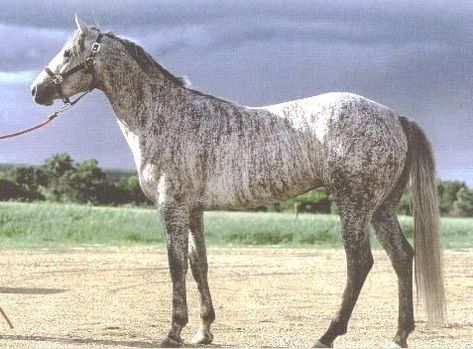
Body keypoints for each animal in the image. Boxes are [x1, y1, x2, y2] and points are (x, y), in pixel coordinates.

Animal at [31, 17, 444, 348]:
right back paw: (399, 335)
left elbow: (175, 265)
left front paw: (173, 332)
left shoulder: (171, 208)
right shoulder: (193, 210)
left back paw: (327, 335)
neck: (167, 116)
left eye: (67, 51)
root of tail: (394, 117)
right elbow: (198, 265)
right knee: (402, 256)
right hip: (381, 208)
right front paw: (203, 331)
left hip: (354, 205)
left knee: (359, 263)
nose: (36, 90)